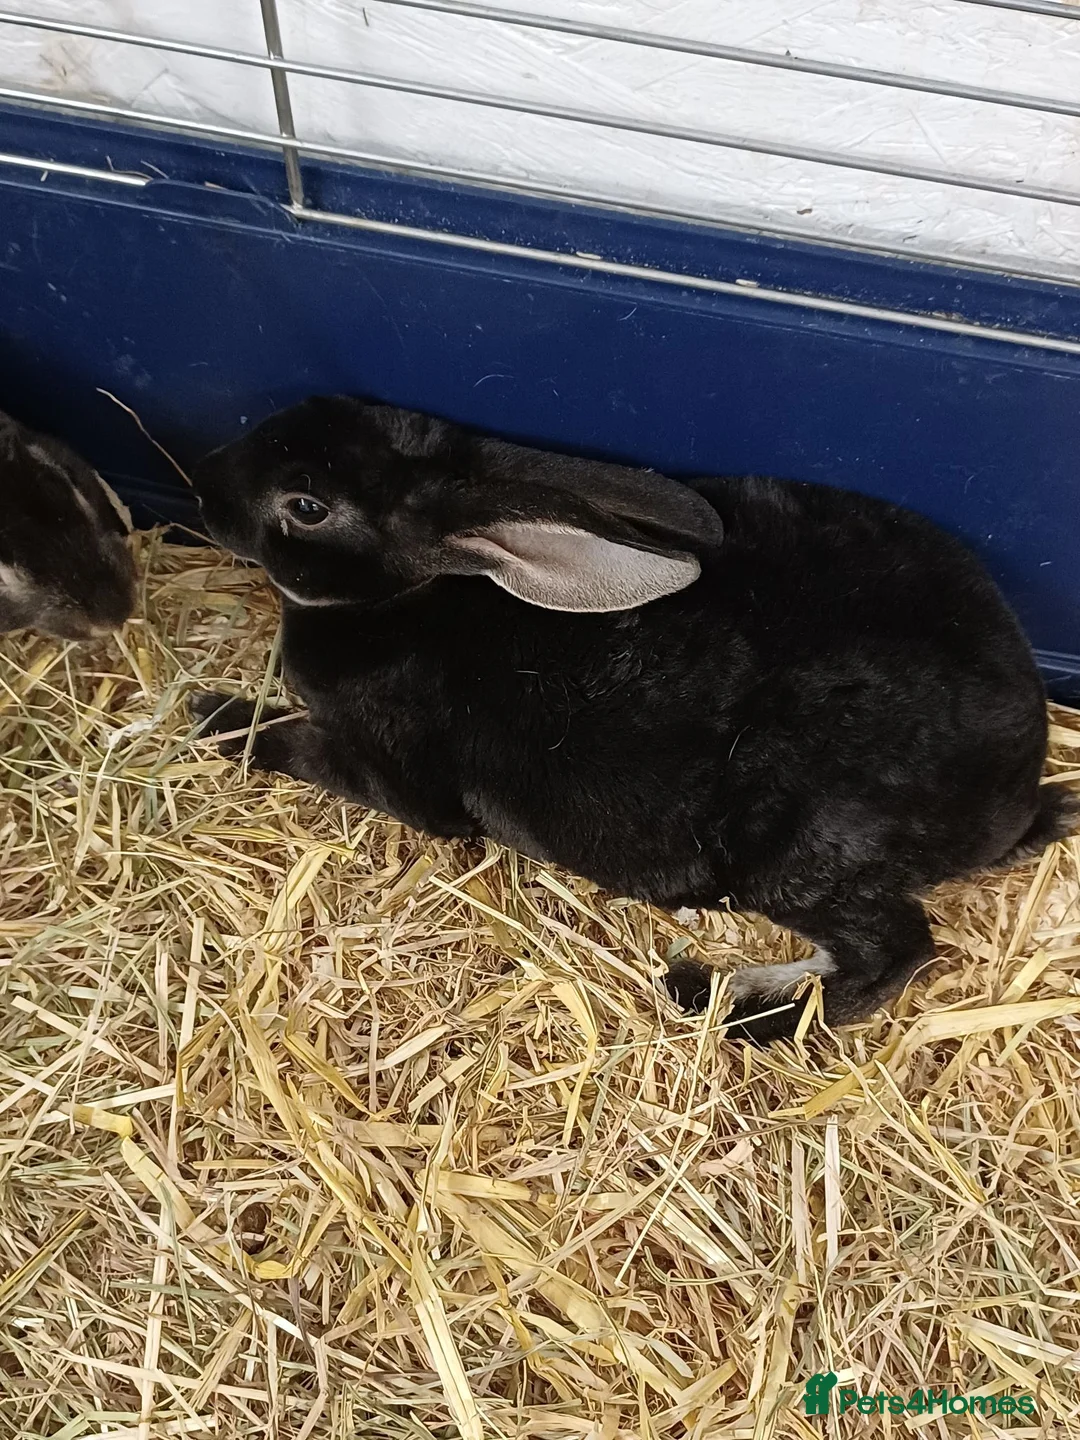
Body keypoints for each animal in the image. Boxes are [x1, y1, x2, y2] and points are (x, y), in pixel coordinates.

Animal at [188, 395, 1074, 1043]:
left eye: (307, 505)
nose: (204, 482)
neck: (417, 591)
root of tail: (1021, 794)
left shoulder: (391, 774)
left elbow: (295, 744)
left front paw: (209, 714)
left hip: (795, 863)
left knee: (892, 955)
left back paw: (719, 1000)